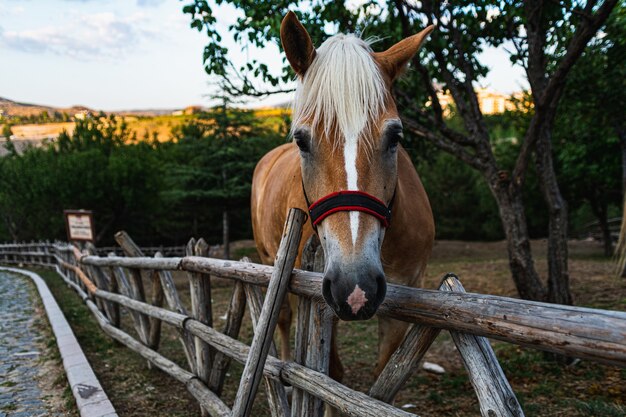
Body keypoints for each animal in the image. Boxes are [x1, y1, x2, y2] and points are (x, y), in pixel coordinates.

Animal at [249, 11, 434, 384]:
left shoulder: (402, 298)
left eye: (395, 136)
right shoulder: (318, 301)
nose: (355, 286)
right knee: (282, 320)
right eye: (302, 141)